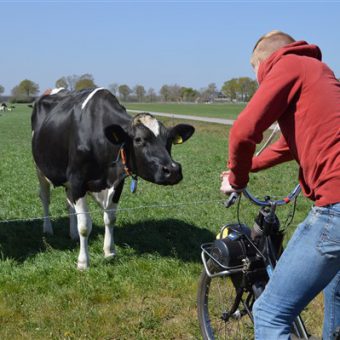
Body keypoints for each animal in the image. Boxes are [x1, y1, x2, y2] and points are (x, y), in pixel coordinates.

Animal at [32, 87, 197, 268]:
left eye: (169, 140)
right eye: (138, 140)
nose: (173, 170)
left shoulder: (117, 182)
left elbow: (110, 218)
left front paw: (109, 252)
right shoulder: (77, 181)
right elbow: (85, 225)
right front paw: (83, 262)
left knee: (69, 204)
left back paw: (73, 233)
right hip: (40, 169)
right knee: (45, 198)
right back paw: (48, 228)